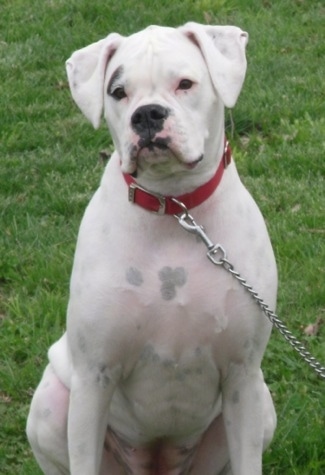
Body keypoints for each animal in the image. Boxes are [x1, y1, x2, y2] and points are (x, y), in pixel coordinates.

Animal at [26, 22, 278, 475]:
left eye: (185, 84)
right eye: (118, 91)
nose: (147, 115)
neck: (174, 209)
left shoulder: (242, 378)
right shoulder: (94, 378)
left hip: (261, 405)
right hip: (53, 403)